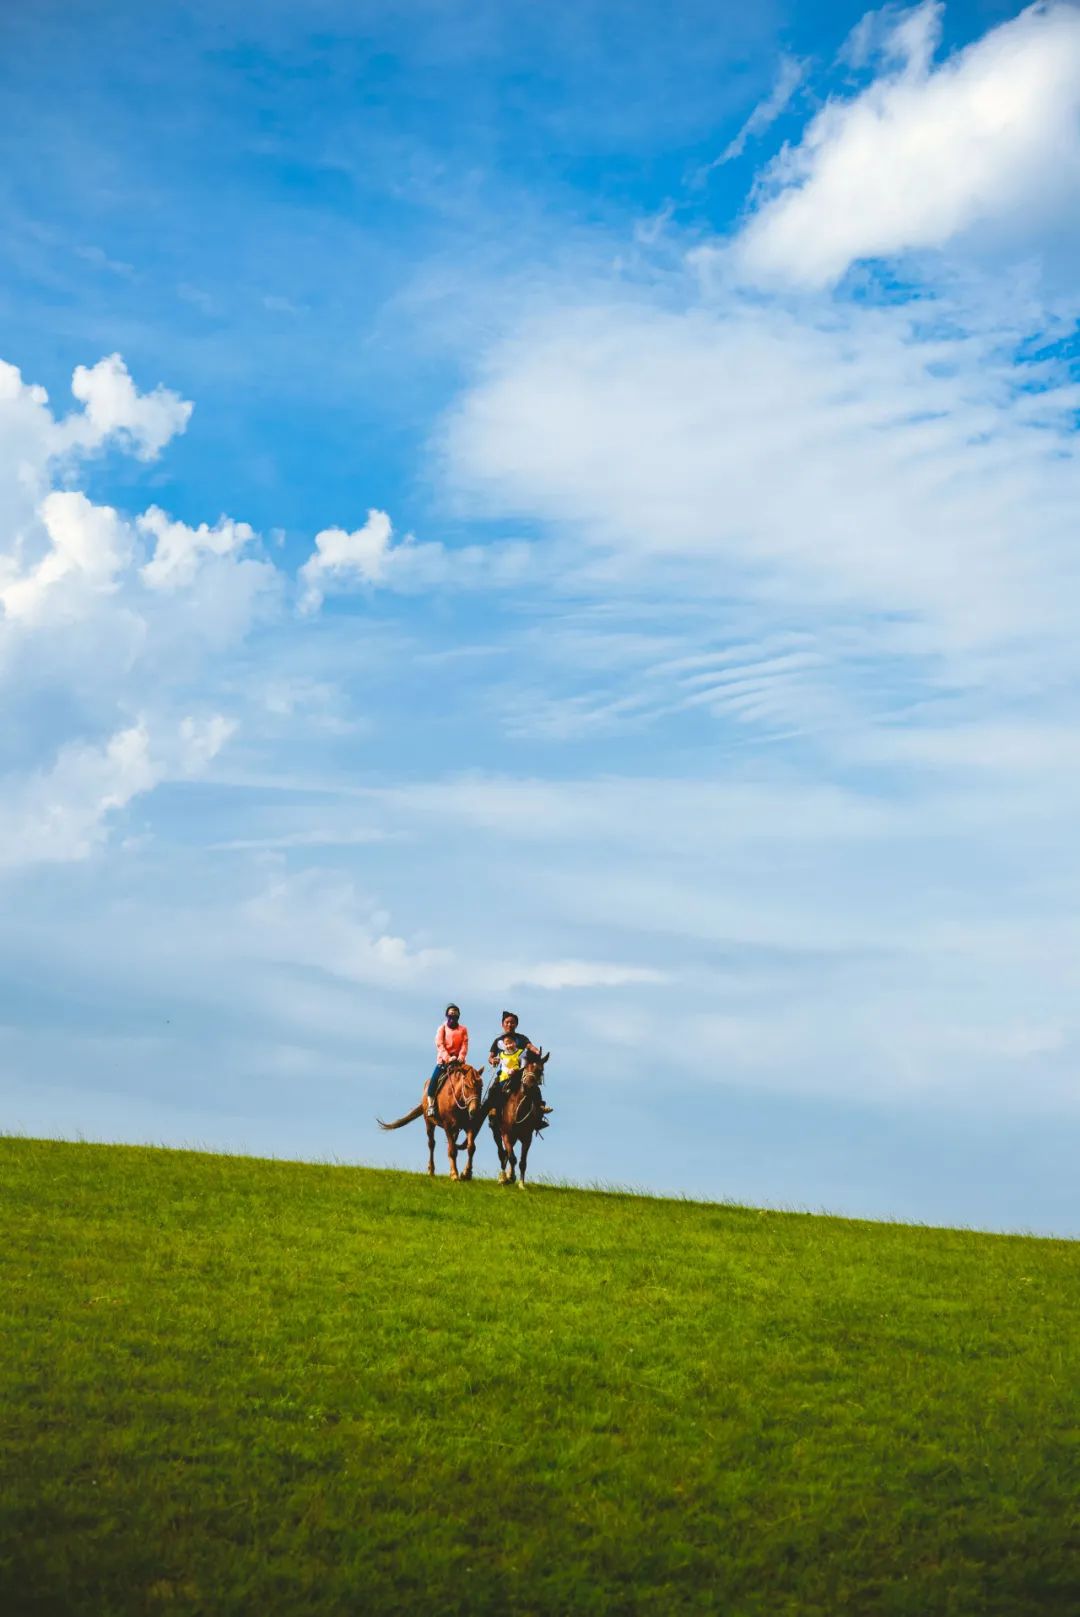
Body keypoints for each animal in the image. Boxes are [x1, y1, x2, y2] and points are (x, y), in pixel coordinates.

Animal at [378, 1054, 481, 1183]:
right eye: (466, 1086)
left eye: (481, 1086)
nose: (474, 1111)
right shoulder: (447, 1126)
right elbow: (453, 1151)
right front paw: (454, 1175)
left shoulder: (469, 1126)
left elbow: (471, 1148)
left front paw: (467, 1173)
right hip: (429, 1123)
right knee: (432, 1144)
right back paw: (431, 1170)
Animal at [485, 1047, 549, 1190]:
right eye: (525, 1068)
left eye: (540, 1070)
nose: (528, 1086)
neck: (519, 1109)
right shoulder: (506, 1134)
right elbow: (512, 1157)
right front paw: (509, 1178)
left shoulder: (527, 1138)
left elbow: (522, 1162)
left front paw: (521, 1184)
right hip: (497, 1132)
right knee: (502, 1153)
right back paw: (503, 1177)